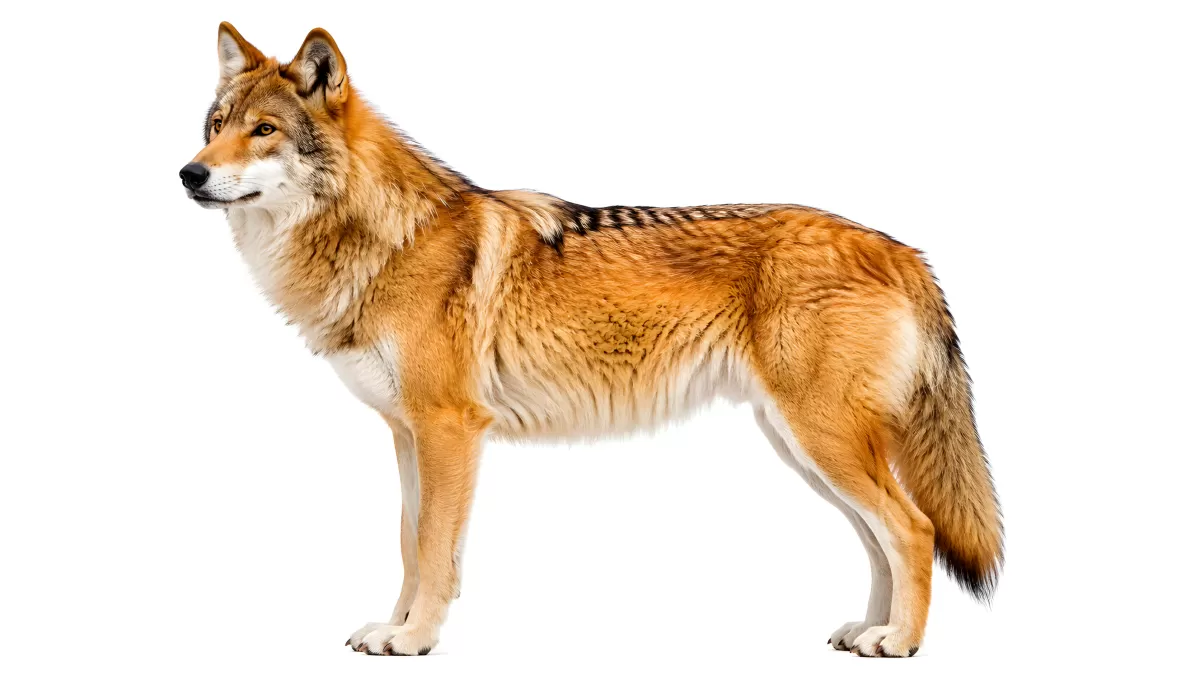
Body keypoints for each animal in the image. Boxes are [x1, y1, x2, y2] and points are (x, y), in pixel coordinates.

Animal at [181, 22, 1003, 657]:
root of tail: (901, 248)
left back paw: (899, 642)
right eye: (215, 126)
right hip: (804, 448)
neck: (382, 238)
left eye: (263, 131)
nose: (188, 173)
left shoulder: (450, 429)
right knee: (880, 538)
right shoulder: (406, 433)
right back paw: (869, 630)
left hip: (821, 440)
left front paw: (414, 640)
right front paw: (395, 626)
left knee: (915, 529)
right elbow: (410, 544)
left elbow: (436, 551)